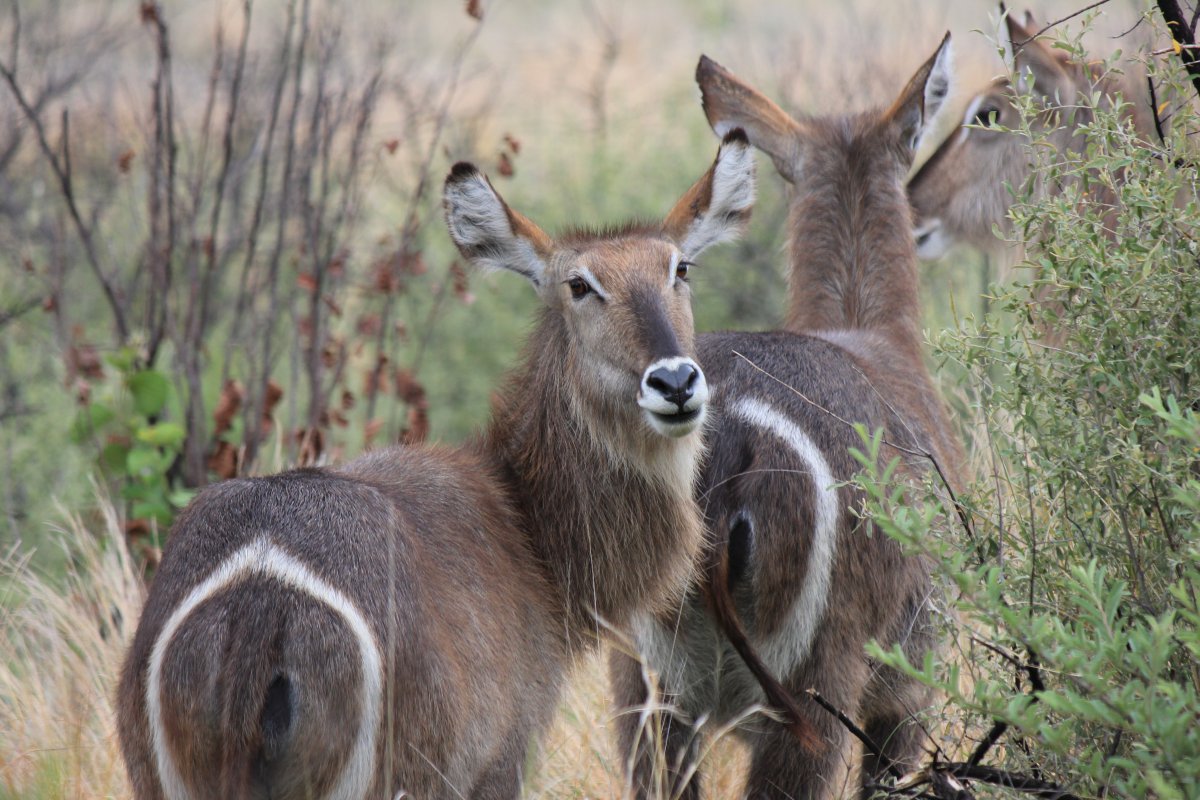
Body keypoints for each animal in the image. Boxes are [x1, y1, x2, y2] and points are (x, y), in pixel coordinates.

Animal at [112, 136, 748, 800]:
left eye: (680, 268)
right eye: (578, 284)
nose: (674, 381)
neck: (527, 529)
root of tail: (258, 603)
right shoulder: (501, 758)